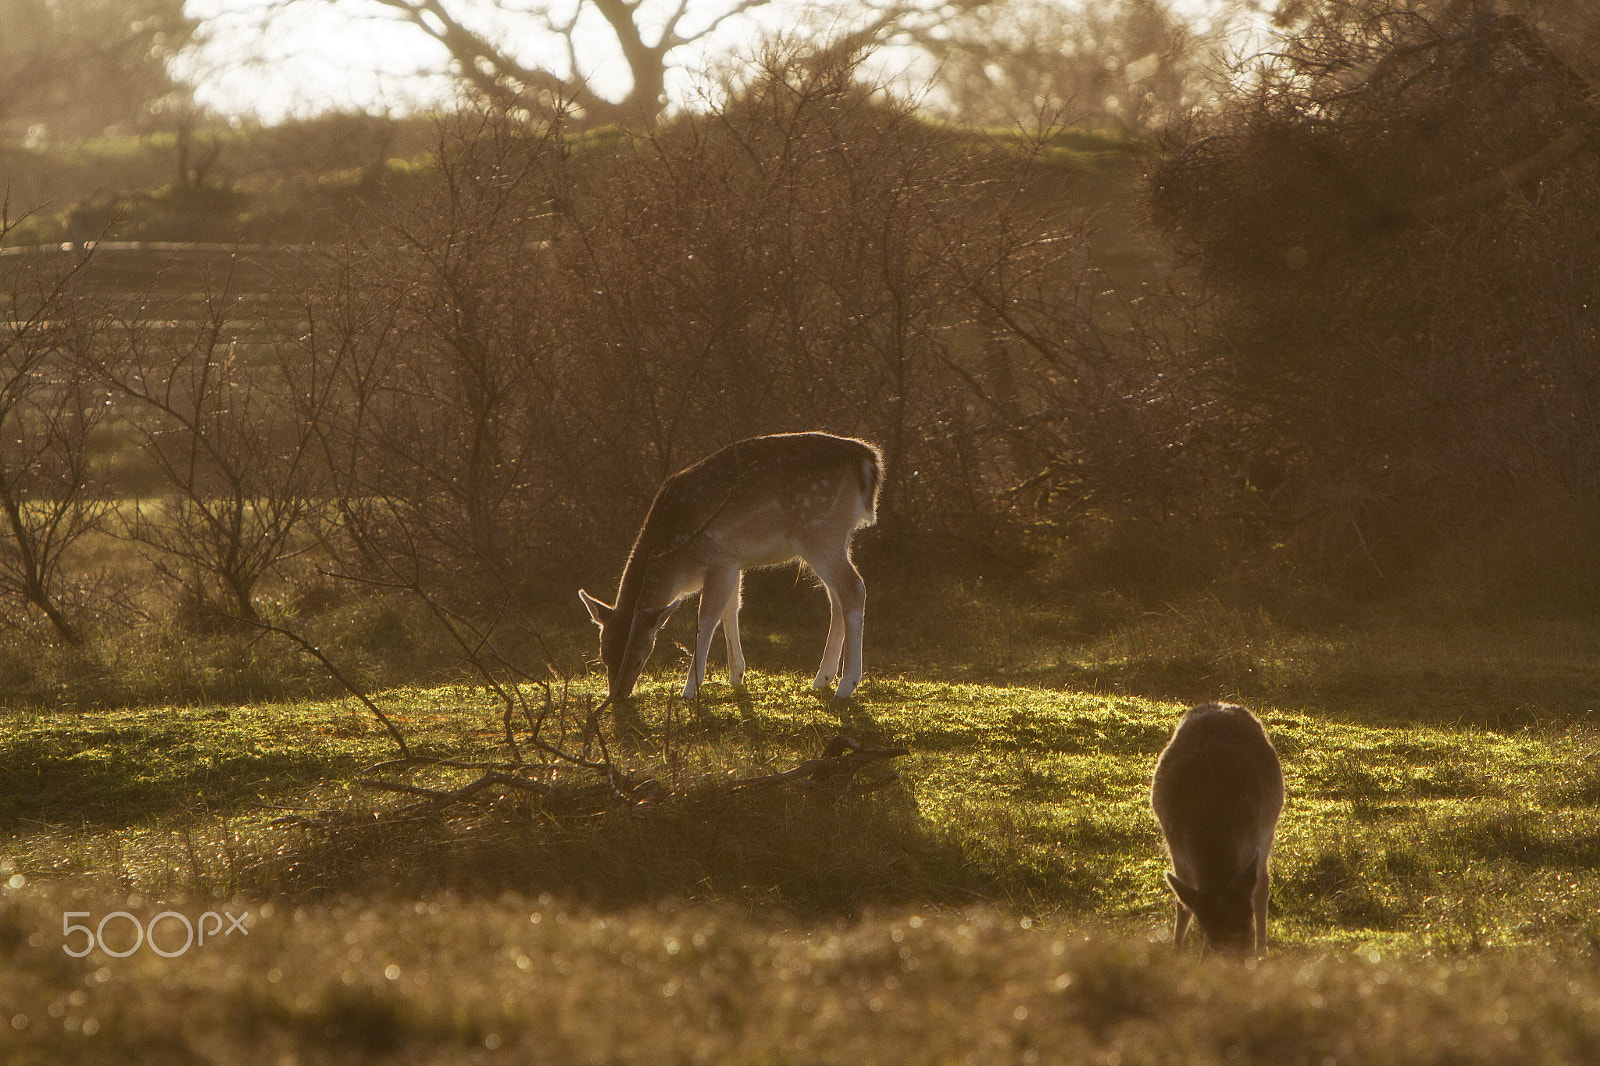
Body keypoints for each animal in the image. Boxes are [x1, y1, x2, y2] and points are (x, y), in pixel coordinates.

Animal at [579, 428, 883, 701]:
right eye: (604, 656)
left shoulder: (719, 558)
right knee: (836, 598)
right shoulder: (733, 562)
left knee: (854, 588)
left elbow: (707, 617)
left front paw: (691, 689)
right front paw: (736, 676)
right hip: (833, 539)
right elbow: (731, 610)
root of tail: (867, 459)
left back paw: (846, 685)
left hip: (819, 532)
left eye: (639, 659)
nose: (617, 697)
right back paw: (822, 679)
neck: (676, 563)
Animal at [1152, 701, 1286, 947]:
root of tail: (1221, 705)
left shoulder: (1253, 840)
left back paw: (1263, 949)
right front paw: (1176, 950)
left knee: (1262, 886)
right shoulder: (1176, 846)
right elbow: (1183, 904)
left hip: (1268, 831)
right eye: (1208, 929)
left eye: (1248, 925)